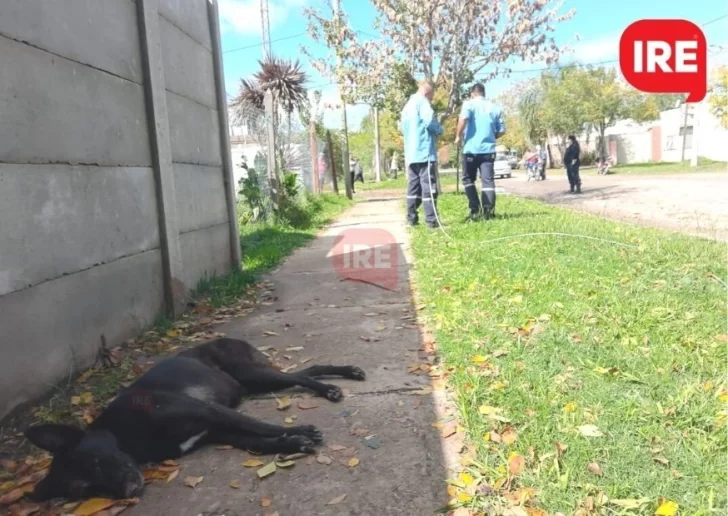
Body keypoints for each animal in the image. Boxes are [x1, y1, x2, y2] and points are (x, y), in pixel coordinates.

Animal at [24, 336, 364, 502]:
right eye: (85, 490)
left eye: (95, 461)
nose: (129, 491)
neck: (127, 434)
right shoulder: (216, 432)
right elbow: (259, 442)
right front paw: (294, 442)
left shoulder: (210, 412)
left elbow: (259, 426)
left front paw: (303, 429)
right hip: (256, 381)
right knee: (307, 372)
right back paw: (343, 375)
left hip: (250, 373)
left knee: (302, 377)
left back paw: (334, 385)